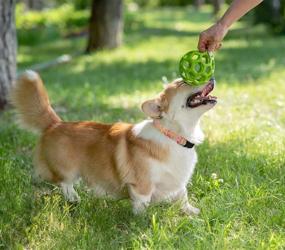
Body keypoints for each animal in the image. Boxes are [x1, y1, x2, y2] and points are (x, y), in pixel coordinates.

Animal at [10, 71, 216, 215]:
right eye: (183, 82)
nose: (212, 77)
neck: (173, 136)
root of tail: (55, 124)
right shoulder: (141, 186)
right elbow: (142, 204)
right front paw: (143, 221)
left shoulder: (178, 182)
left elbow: (183, 196)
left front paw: (192, 212)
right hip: (67, 170)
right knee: (64, 183)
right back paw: (74, 199)